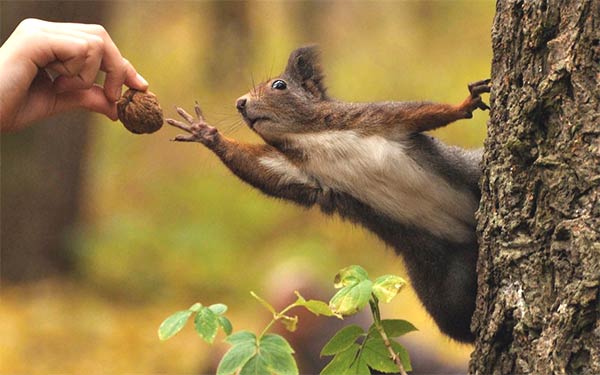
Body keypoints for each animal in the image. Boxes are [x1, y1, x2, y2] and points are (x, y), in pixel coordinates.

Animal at [168, 45, 492, 342]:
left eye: (279, 85)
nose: (240, 103)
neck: (311, 138)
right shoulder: (302, 174)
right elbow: (262, 171)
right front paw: (206, 133)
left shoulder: (378, 117)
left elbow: (424, 113)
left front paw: (465, 104)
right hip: (440, 281)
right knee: (457, 321)